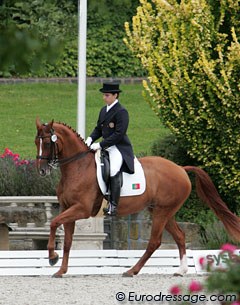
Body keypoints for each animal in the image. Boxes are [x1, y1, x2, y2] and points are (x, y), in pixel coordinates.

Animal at [34, 117, 240, 276]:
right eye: (37, 142)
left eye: (48, 142)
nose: (42, 171)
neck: (78, 168)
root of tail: (181, 168)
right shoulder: (67, 208)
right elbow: (67, 241)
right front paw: (60, 269)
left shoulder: (82, 209)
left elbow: (53, 223)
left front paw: (52, 257)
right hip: (163, 212)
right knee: (180, 236)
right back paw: (181, 270)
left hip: (162, 212)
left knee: (155, 242)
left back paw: (132, 270)